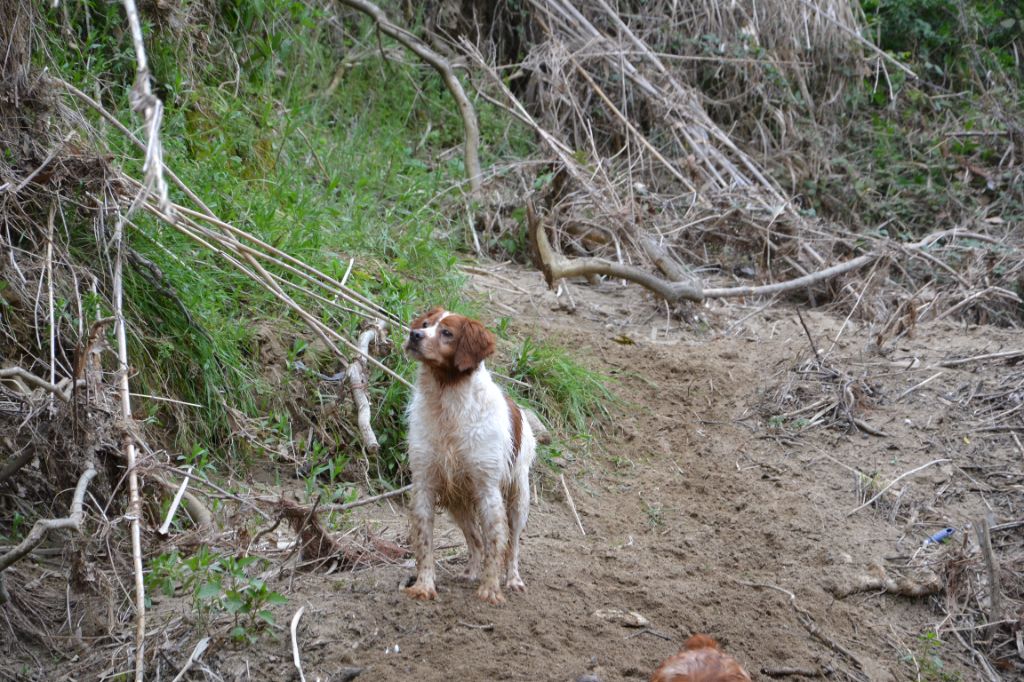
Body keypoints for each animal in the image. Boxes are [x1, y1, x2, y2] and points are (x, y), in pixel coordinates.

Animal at [403, 305, 540, 602]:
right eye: (426, 325)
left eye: (447, 333)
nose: (414, 335)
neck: (447, 402)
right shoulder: (424, 484)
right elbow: (424, 542)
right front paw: (424, 585)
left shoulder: (488, 490)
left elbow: (496, 544)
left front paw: (490, 590)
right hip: (457, 502)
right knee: (475, 539)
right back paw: (470, 572)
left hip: (518, 498)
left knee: (512, 546)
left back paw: (513, 580)